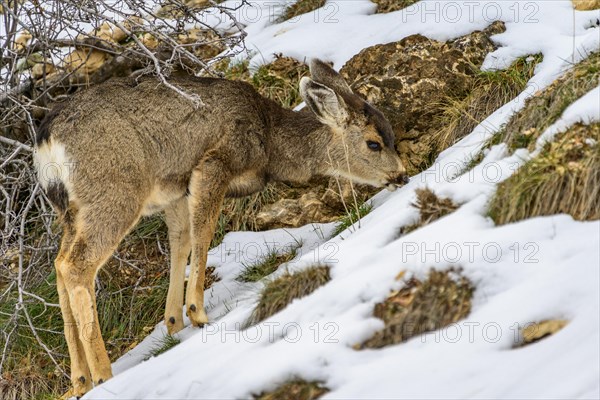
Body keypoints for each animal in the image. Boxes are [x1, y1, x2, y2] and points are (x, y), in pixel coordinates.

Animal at [32, 57, 408, 396]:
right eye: (374, 143)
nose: (402, 175)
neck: (268, 140)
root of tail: (46, 142)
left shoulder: (176, 191)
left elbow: (181, 242)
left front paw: (174, 322)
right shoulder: (215, 162)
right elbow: (204, 233)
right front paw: (197, 313)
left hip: (70, 210)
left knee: (60, 264)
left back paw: (79, 379)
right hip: (115, 191)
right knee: (77, 265)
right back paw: (102, 374)